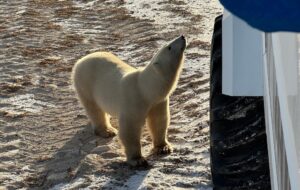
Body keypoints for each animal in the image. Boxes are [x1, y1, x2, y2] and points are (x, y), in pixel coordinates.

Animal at [72, 35, 185, 166]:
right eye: (169, 47)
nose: (182, 36)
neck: (146, 89)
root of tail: (80, 60)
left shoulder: (157, 102)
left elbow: (159, 121)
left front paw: (163, 148)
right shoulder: (134, 99)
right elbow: (130, 128)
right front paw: (138, 159)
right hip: (86, 84)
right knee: (94, 109)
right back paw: (107, 130)